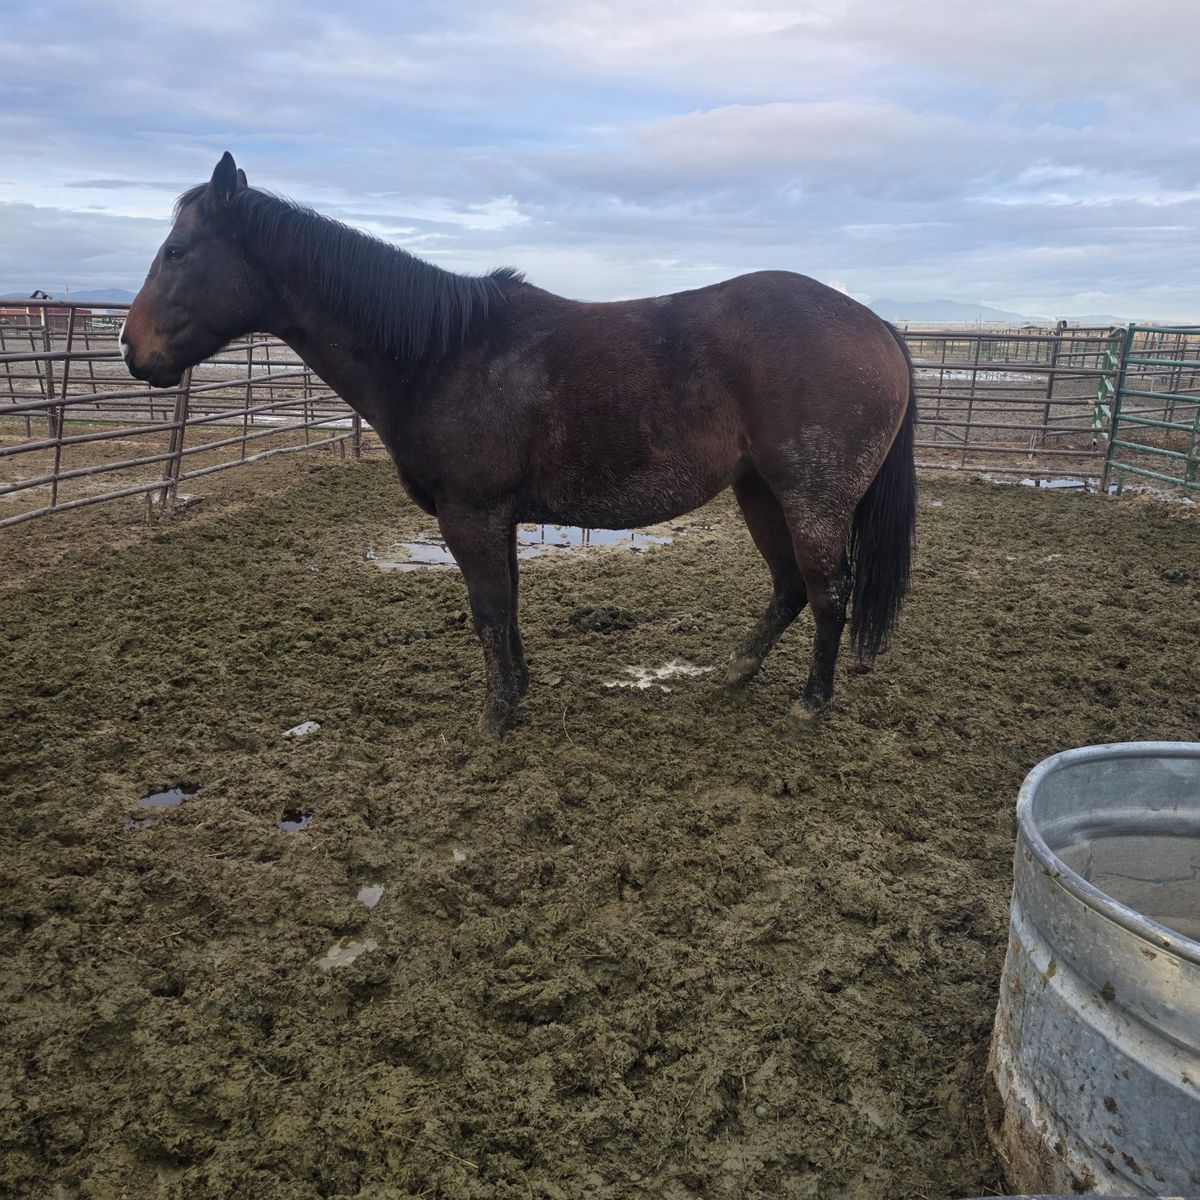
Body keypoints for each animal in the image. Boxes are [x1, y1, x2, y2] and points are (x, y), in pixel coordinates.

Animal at [122, 153, 917, 736]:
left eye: (178, 251)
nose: (132, 348)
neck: (441, 352)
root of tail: (877, 327)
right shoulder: (496, 514)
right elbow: (507, 602)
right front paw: (519, 689)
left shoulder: (470, 512)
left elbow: (488, 608)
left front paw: (495, 716)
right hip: (759, 491)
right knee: (790, 588)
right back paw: (734, 672)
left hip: (811, 498)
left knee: (829, 593)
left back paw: (810, 704)